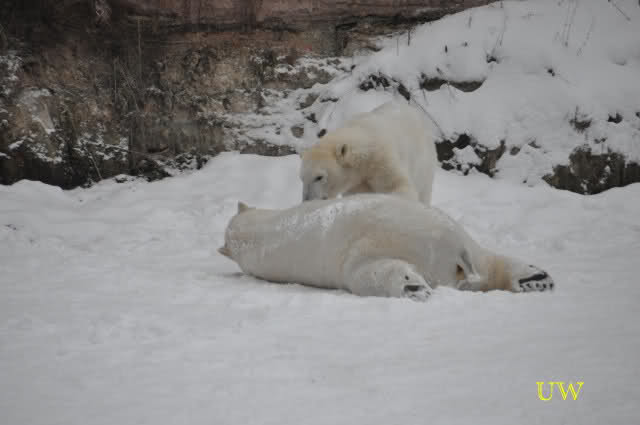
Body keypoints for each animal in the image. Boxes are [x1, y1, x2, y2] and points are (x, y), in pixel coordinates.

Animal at [299, 100, 438, 205]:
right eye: (302, 178)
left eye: (319, 177)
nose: (307, 201)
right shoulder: (355, 182)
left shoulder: (382, 161)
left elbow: (398, 186)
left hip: (424, 163)